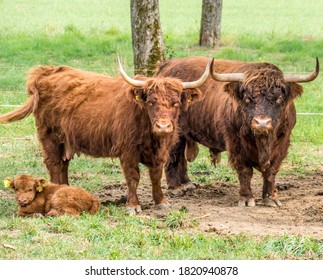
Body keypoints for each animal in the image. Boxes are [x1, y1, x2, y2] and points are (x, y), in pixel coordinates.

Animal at [0, 58, 211, 213]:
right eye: (151, 102)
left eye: (176, 103)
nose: (163, 126)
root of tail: (48, 71)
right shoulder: (127, 150)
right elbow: (133, 177)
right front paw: (133, 206)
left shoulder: (161, 151)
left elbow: (156, 175)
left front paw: (161, 201)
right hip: (49, 136)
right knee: (54, 164)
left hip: (65, 139)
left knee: (63, 165)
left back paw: (66, 188)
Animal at [158, 55, 320, 207]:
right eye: (248, 98)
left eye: (279, 99)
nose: (262, 123)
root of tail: (168, 66)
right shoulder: (236, 144)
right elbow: (245, 171)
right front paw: (247, 199)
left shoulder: (283, 142)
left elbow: (271, 171)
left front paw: (271, 198)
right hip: (175, 131)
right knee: (174, 155)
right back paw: (176, 187)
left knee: (181, 156)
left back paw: (187, 183)